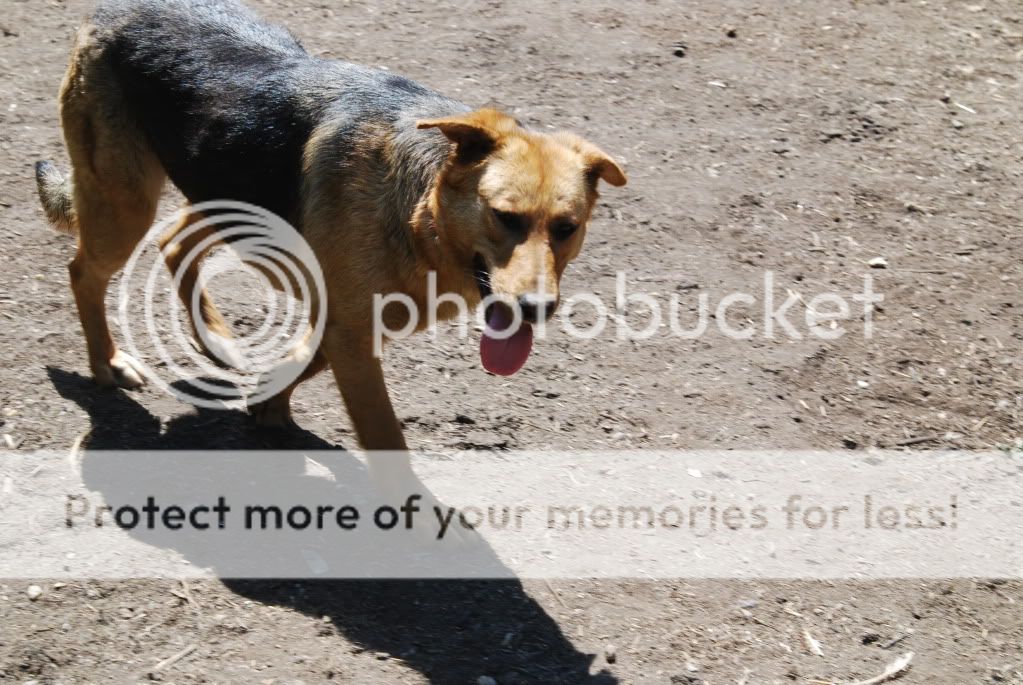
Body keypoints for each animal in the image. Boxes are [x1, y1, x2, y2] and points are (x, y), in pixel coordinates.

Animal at [36, 0, 626, 482]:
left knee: (175, 242)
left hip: (228, 198)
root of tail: (114, 9)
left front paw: (269, 404)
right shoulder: (354, 334)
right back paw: (108, 363)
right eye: (504, 217)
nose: (537, 309)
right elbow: (385, 436)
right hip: (123, 206)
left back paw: (216, 338)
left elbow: (305, 356)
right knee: (84, 272)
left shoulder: (349, 321)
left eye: (567, 228)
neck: (419, 213)